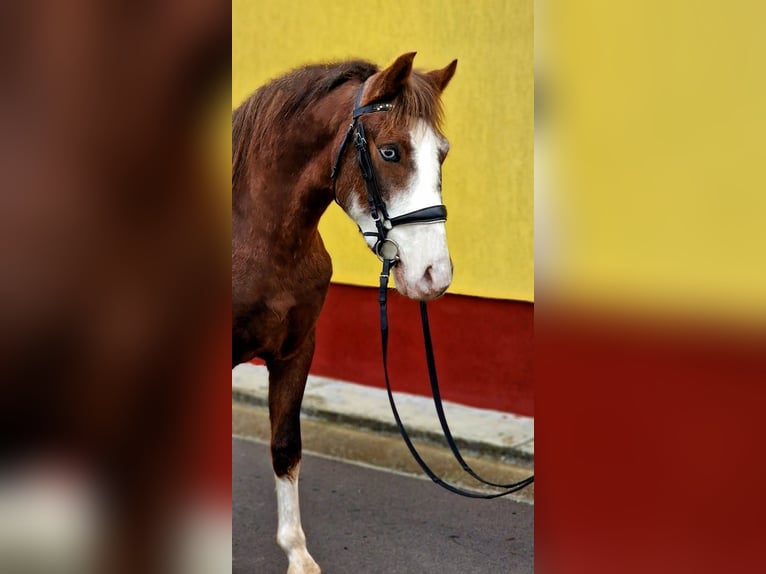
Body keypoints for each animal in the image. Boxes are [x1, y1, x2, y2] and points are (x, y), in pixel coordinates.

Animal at [232, 52, 457, 573]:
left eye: (442, 153)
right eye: (390, 152)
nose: (434, 273)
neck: (258, 240)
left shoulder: (296, 351)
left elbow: (286, 446)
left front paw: (297, 553)